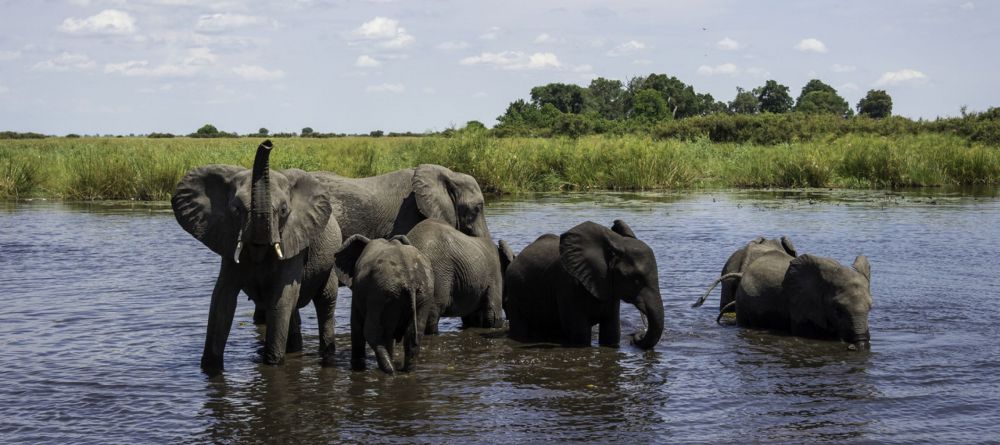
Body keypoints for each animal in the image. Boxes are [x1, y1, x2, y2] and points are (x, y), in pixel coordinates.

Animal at [173, 140, 344, 372]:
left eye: (283, 210)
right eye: (236, 209)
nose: (267, 143)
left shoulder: (293, 242)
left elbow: (281, 297)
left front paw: (272, 365)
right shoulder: (227, 240)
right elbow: (222, 299)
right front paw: (210, 369)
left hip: (328, 264)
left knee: (325, 302)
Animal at [334, 234, 432, 372]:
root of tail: (409, 280)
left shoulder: (359, 291)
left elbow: (357, 326)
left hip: (382, 293)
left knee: (373, 332)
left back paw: (389, 370)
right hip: (422, 293)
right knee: (411, 334)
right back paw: (406, 370)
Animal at [504, 220, 668, 348]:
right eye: (636, 279)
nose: (637, 336)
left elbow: (611, 331)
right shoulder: (567, 285)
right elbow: (580, 333)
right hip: (513, 294)